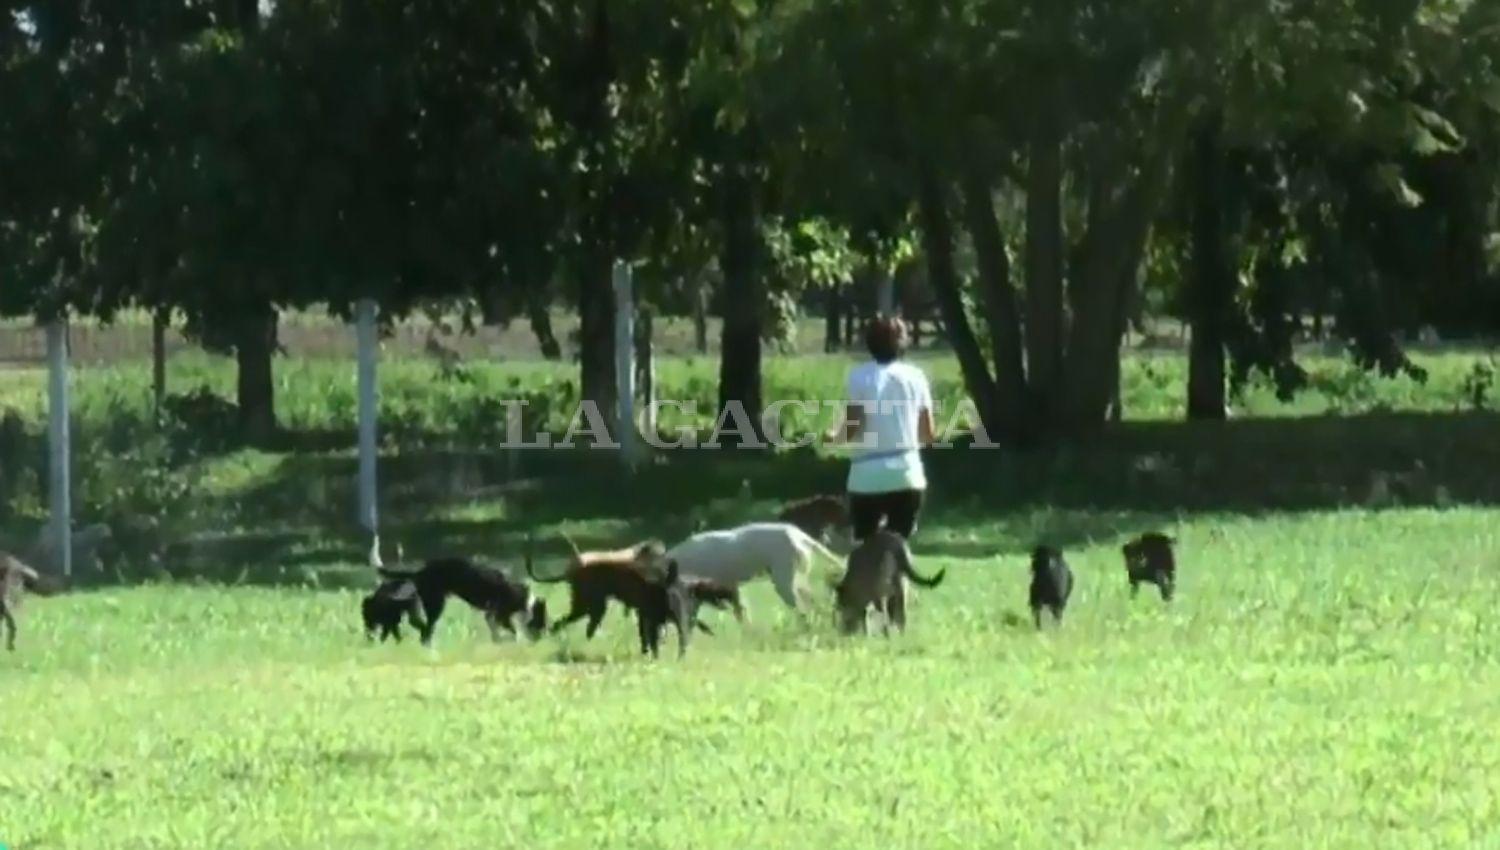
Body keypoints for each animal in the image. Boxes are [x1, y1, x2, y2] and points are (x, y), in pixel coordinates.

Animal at [378, 557, 549, 644]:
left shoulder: (493, 615)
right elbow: (512, 631)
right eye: (542, 622)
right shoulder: (498, 614)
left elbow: (499, 632)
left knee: (422, 626)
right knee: (426, 629)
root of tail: (421, 571)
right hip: (436, 604)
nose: (541, 640)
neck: (526, 601)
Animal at [666, 521, 846, 608]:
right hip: (796, 578)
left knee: (802, 607)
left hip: (784, 580)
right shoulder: (731, 588)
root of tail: (800, 535)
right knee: (812, 602)